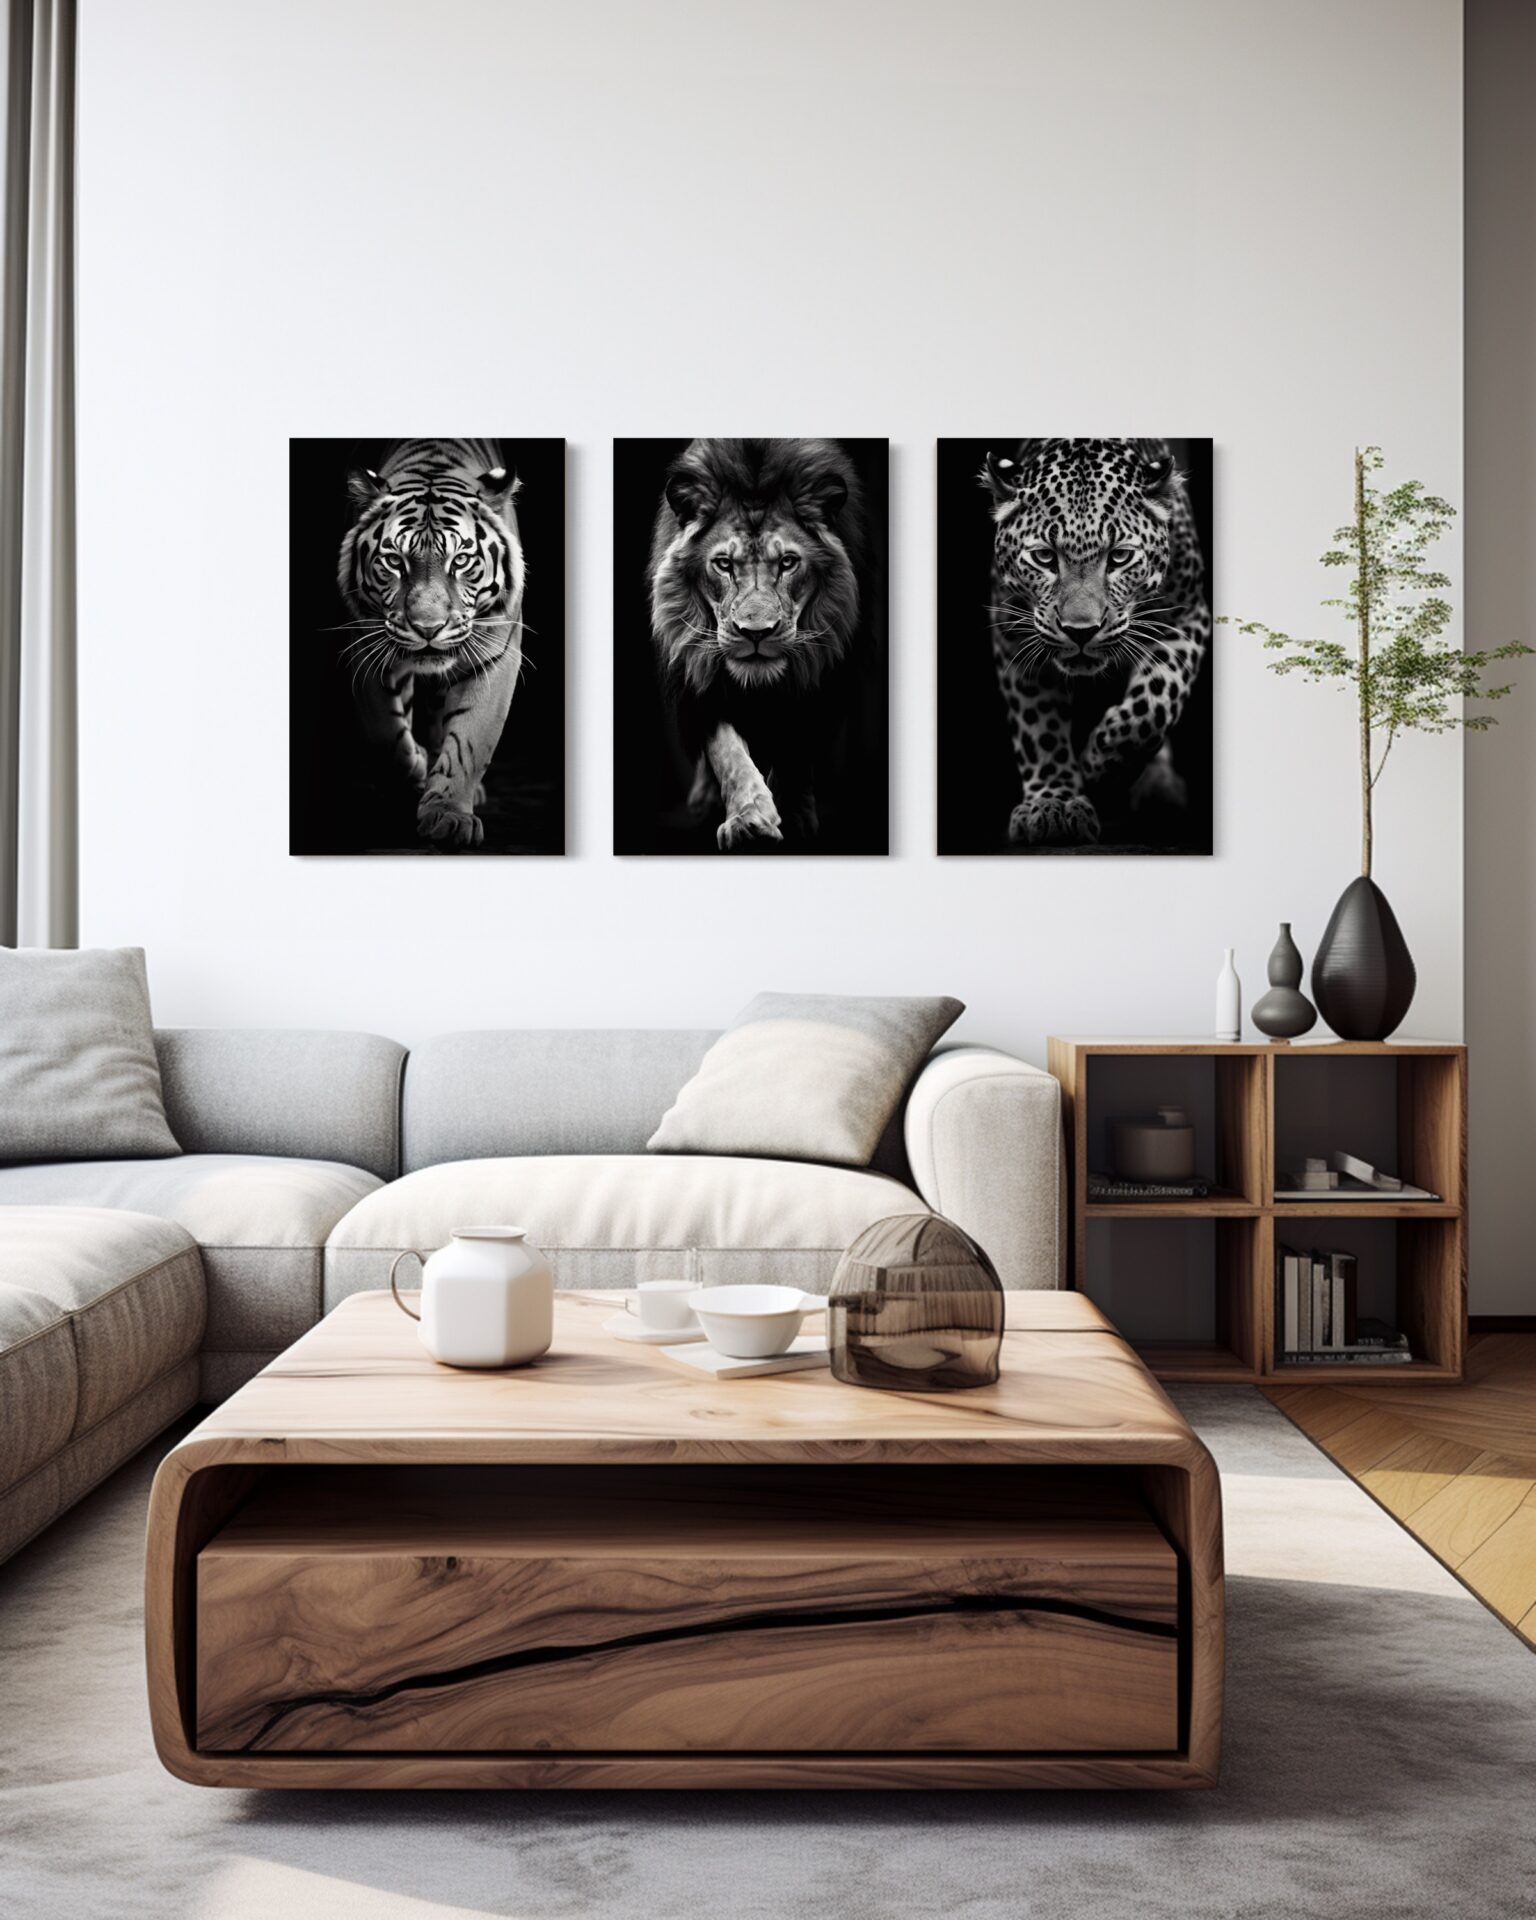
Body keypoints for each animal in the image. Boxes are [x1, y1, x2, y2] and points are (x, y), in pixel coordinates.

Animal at [337, 438, 525, 849]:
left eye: (462, 560)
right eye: (394, 561)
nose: (428, 628)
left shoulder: (495, 656)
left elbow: (471, 739)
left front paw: (449, 815)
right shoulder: (368, 650)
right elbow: (386, 735)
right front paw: (417, 770)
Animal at [648, 437, 864, 850]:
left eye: (788, 562)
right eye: (724, 564)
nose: (756, 632)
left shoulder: (822, 680)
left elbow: (796, 750)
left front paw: (795, 817)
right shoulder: (703, 680)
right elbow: (727, 751)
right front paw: (749, 820)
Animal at [981, 437, 1210, 846]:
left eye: (1120, 557)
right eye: (1044, 557)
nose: (1081, 630)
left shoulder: (1188, 616)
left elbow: (1154, 704)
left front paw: (1102, 766)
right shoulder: (1014, 636)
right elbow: (1038, 726)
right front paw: (1053, 803)